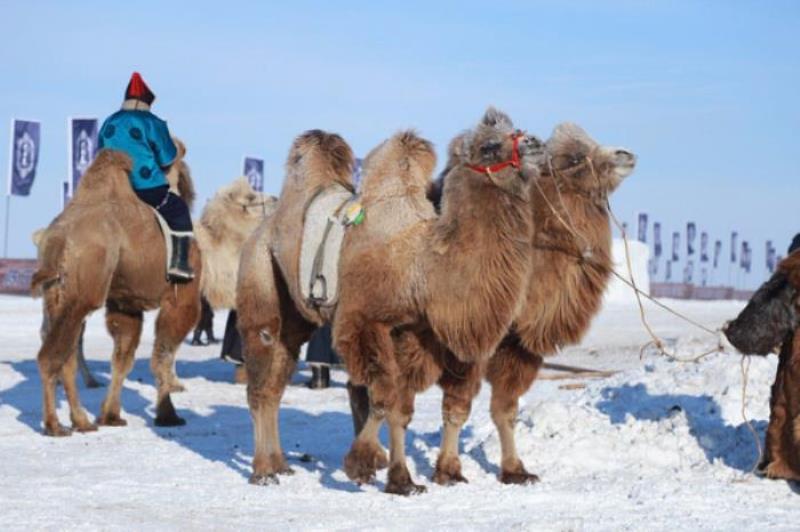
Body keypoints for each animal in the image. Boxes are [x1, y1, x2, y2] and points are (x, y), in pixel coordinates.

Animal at [33, 148, 203, 434]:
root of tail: (59, 239)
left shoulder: (126, 303)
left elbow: (123, 359)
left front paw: (111, 415)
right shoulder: (181, 300)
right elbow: (162, 356)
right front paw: (168, 415)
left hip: (56, 294)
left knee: (66, 356)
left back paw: (81, 421)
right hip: (82, 295)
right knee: (52, 355)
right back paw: (55, 425)